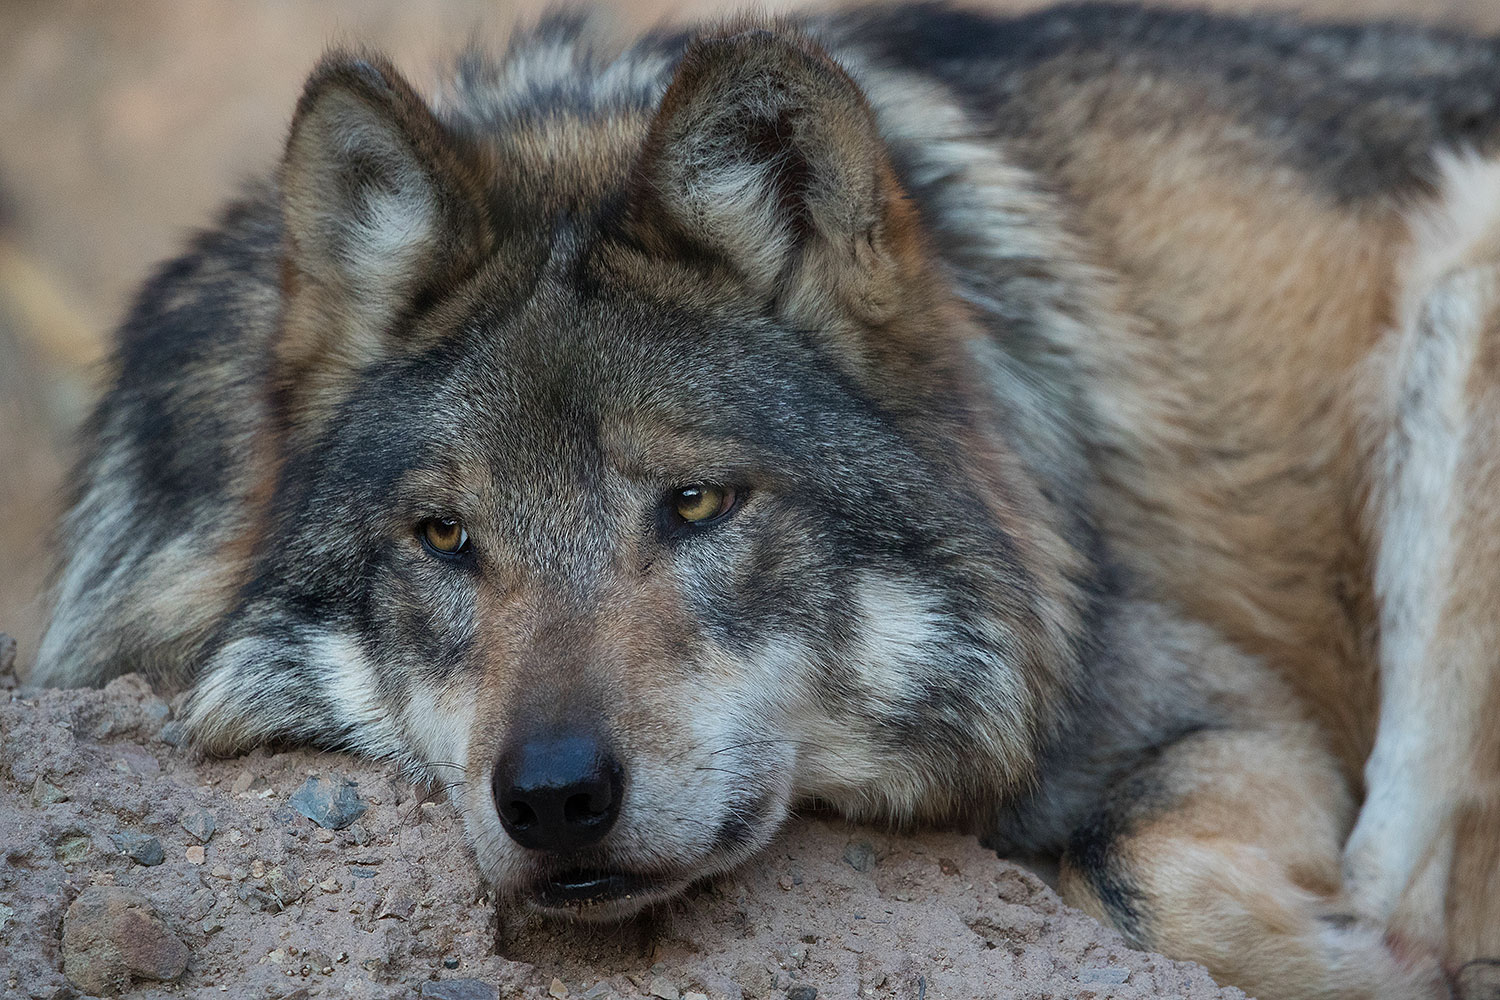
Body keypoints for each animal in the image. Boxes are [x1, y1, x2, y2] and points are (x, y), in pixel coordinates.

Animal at [32, 3, 1500, 997]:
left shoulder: (1216, 701)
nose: (552, 796)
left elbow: (1135, 867)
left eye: (695, 504)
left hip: (1464, 269)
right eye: (445, 537)